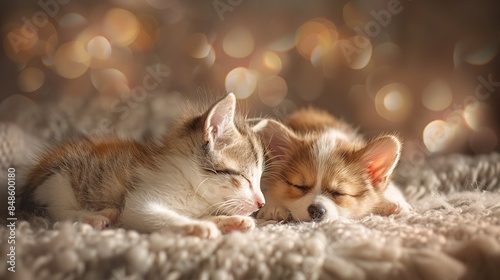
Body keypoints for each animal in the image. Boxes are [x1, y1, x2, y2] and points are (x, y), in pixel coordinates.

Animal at [19, 94, 266, 238]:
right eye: (245, 178)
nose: (261, 203)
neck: (188, 183)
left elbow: (201, 215)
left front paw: (230, 222)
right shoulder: (140, 198)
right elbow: (152, 215)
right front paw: (196, 227)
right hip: (59, 177)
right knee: (54, 210)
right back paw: (95, 216)